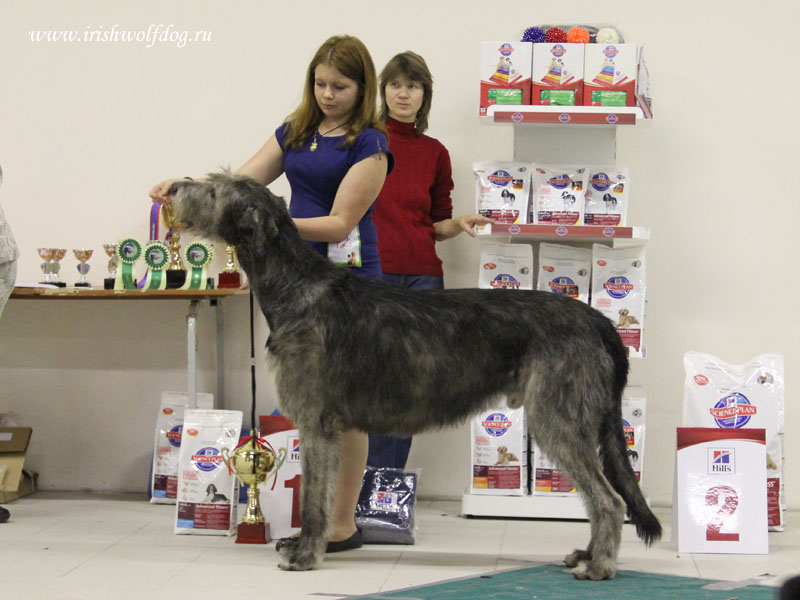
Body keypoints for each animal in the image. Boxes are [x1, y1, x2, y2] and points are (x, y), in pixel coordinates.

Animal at [169, 171, 664, 580]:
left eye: (213, 191)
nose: (172, 188)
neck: (296, 287)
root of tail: (596, 320)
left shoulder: (316, 424)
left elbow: (313, 498)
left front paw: (306, 553)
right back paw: (588, 553)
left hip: (557, 416)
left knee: (609, 499)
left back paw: (599, 566)